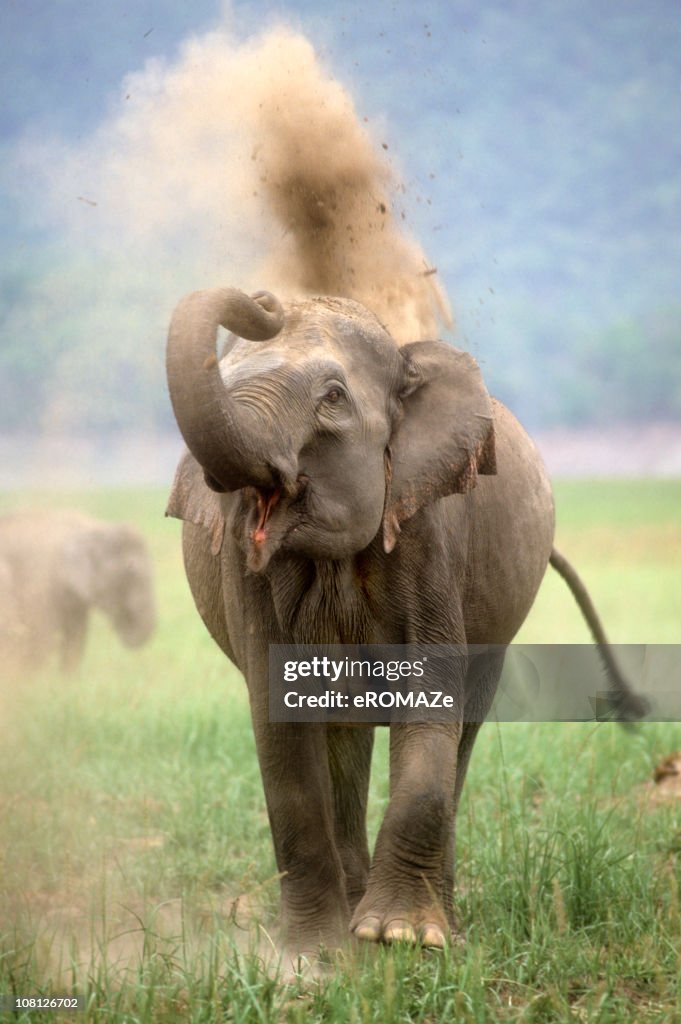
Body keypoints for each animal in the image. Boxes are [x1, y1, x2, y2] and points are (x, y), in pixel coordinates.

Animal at [0, 509, 156, 674]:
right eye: (130, 570)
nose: (123, 620)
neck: (93, 526)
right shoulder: (40, 585)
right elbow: (41, 642)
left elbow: (75, 642)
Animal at [165, 287, 646, 956]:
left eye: (333, 396)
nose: (264, 299)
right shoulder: (244, 561)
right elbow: (277, 715)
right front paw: (313, 955)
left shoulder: (427, 528)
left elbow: (431, 691)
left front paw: (400, 936)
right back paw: (353, 915)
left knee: (463, 724)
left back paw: (441, 928)